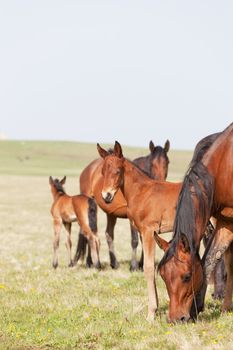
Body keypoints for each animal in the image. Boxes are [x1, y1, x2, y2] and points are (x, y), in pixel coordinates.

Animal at [73, 140, 170, 270]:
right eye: (152, 163)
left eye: (167, 162)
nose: (160, 182)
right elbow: (135, 240)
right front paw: (134, 266)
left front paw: (142, 264)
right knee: (89, 231)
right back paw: (90, 263)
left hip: (110, 213)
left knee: (108, 234)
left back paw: (114, 263)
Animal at [96, 141, 182, 322]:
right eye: (102, 172)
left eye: (117, 171)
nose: (106, 196)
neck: (142, 191)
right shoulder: (144, 233)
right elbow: (148, 265)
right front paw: (155, 308)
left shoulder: (149, 231)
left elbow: (148, 268)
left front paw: (151, 313)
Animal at [156, 123, 233, 322]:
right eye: (163, 276)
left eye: (187, 276)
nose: (175, 319)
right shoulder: (226, 221)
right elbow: (210, 260)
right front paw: (197, 308)